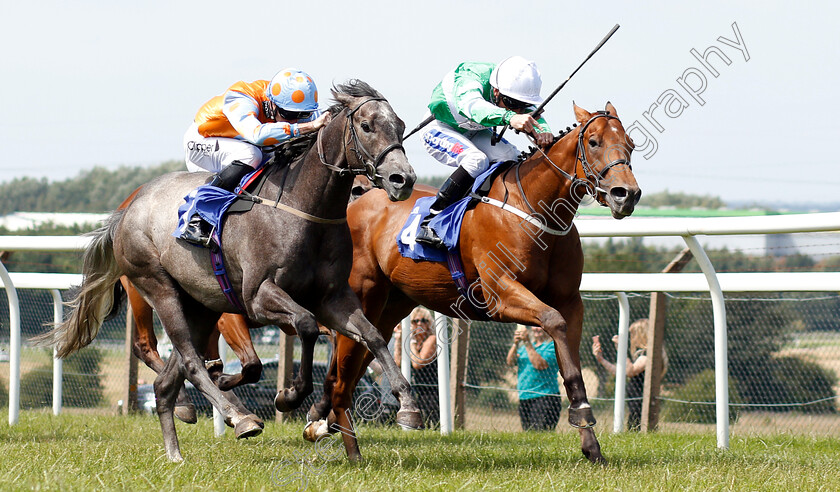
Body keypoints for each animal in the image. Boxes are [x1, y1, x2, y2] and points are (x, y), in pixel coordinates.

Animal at [33, 80, 424, 462]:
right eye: (367, 125)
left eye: (400, 125)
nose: (402, 179)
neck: (302, 208)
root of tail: (127, 209)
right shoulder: (258, 297)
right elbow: (306, 325)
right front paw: (290, 396)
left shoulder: (333, 297)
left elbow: (372, 336)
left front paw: (407, 406)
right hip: (158, 286)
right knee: (190, 361)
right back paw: (239, 416)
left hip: (202, 306)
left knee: (167, 382)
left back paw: (176, 452)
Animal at [308, 102, 644, 464]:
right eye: (593, 142)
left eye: (631, 144)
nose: (627, 194)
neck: (535, 208)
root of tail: (356, 203)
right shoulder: (500, 296)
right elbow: (552, 320)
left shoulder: (571, 301)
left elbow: (570, 364)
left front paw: (590, 441)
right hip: (363, 298)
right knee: (342, 380)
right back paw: (352, 449)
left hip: (390, 309)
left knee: (354, 365)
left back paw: (322, 423)